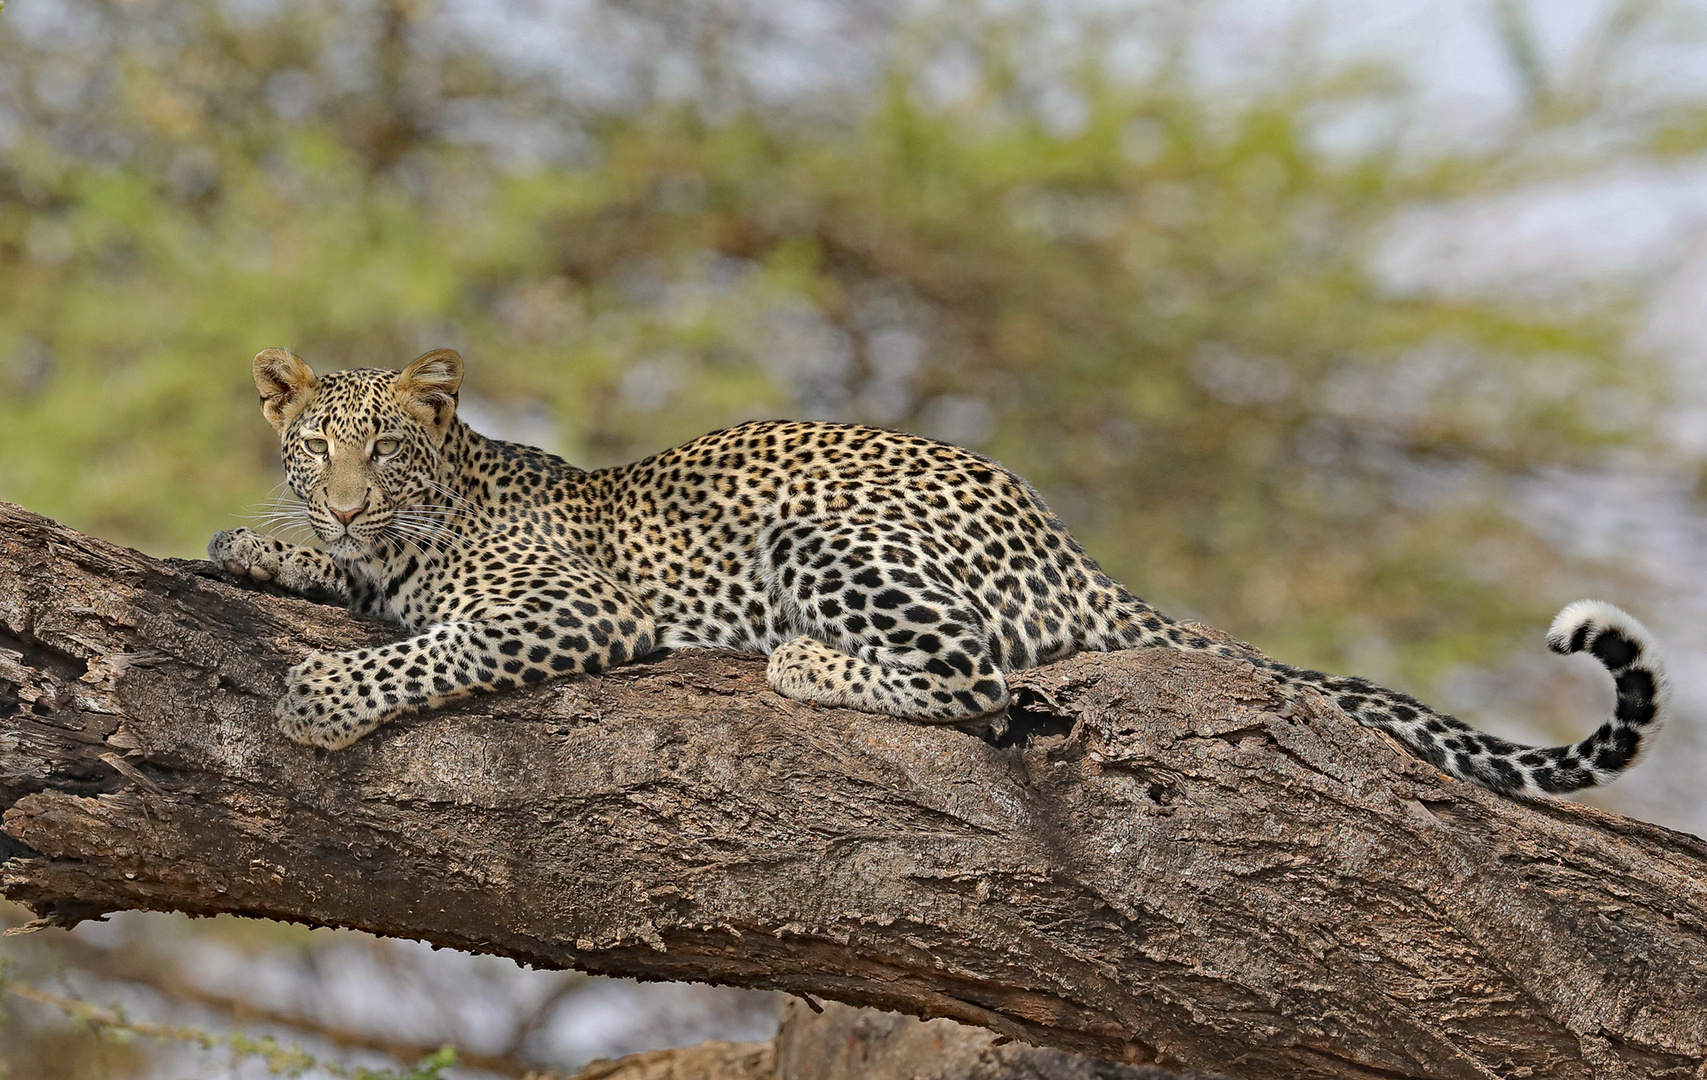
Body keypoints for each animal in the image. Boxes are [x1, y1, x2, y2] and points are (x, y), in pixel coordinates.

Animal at [209, 349, 1666, 795]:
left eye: (389, 446)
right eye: (317, 450)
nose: (344, 504)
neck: (429, 516)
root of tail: (1065, 542)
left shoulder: (572, 608)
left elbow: (440, 642)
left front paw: (321, 700)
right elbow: (350, 584)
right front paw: (257, 543)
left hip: (824, 537)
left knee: (981, 684)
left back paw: (804, 661)